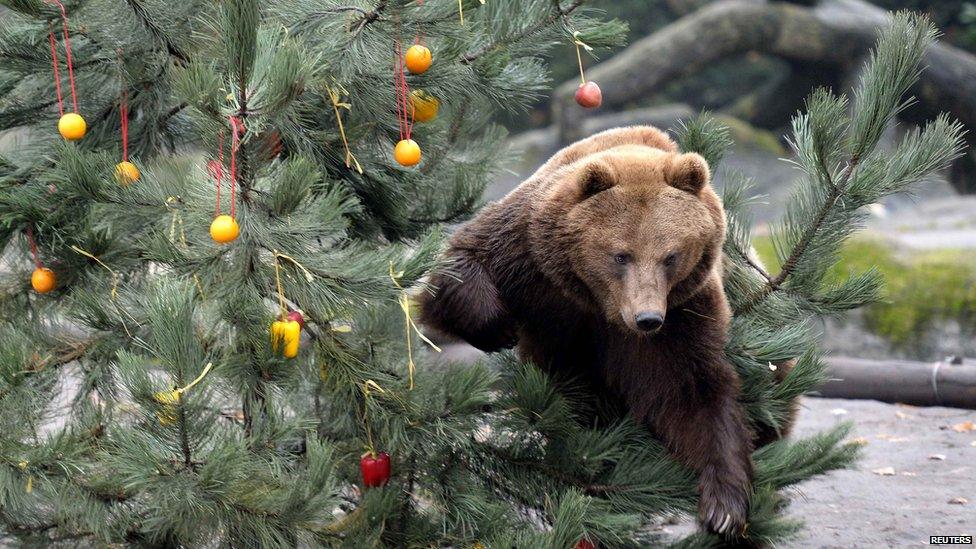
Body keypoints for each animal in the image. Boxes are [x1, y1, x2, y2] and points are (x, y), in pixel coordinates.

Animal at [420, 125, 756, 536]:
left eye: (670, 256)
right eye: (621, 255)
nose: (647, 318)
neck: (600, 304)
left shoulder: (683, 314)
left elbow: (693, 394)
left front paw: (724, 508)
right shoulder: (529, 256)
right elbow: (458, 267)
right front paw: (499, 328)